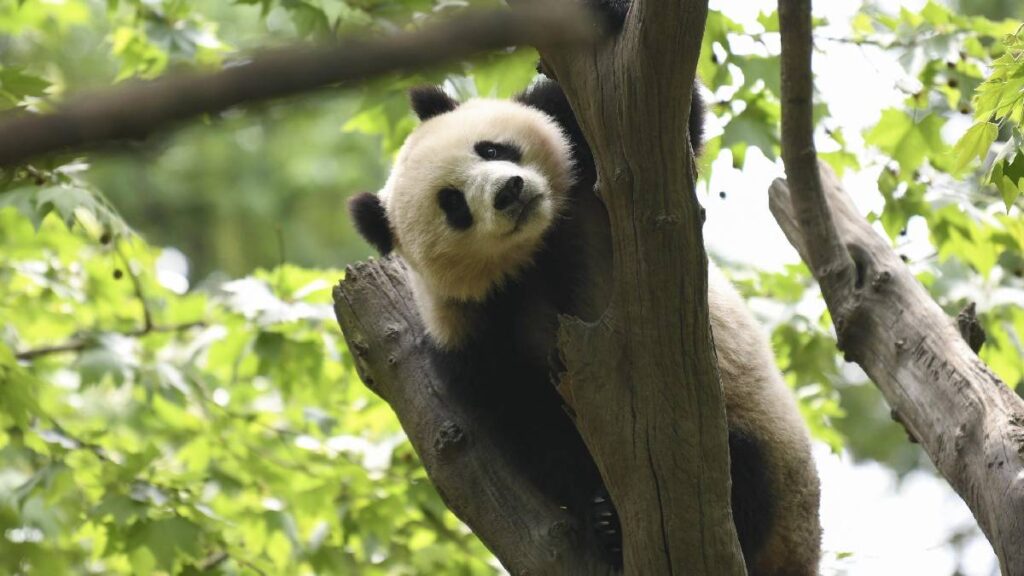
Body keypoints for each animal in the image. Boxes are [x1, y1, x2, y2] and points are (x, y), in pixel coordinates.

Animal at [348, 9, 821, 576]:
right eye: (453, 204)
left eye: (491, 148)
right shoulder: (474, 333)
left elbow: (674, 121)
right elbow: (531, 425)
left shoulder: (590, 160)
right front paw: (600, 513)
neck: (541, 246)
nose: (508, 191)